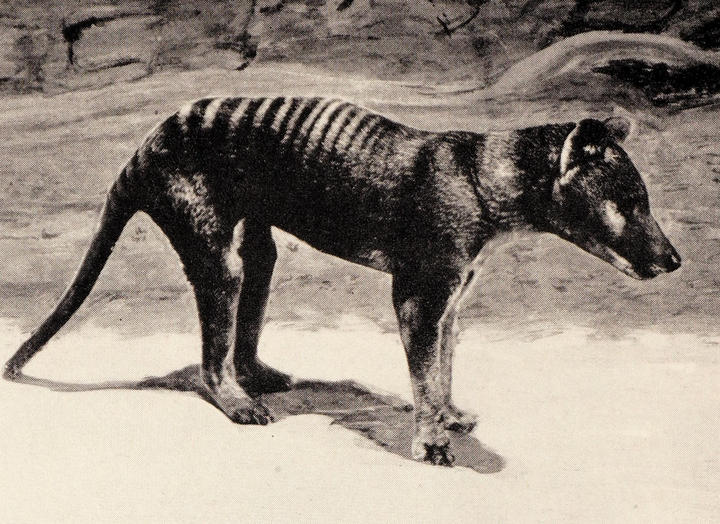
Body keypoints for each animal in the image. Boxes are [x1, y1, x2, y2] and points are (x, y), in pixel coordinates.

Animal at [4, 97, 680, 465]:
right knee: (212, 349)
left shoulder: (453, 296)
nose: (675, 261)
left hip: (259, 242)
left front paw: (451, 415)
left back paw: (260, 376)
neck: (480, 176)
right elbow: (424, 373)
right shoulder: (419, 294)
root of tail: (144, 147)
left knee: (253, 295)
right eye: (629, 202)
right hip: (211, 250)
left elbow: (446, 363)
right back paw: (235, 400)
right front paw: (431, 442)